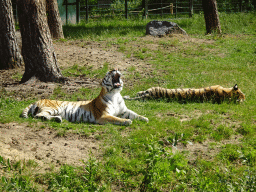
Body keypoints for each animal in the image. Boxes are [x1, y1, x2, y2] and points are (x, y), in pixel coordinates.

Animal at [22, 70, 150, 125]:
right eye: (109, 72)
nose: (114, 69)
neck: (115, 94)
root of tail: (38, 99)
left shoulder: (124, 110)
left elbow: (135, 114)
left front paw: (145, 118)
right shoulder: (103, 115)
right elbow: (116, 119)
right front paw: (127, 121)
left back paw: (58, 119)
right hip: (53, 108)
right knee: (38, 116)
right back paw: (57, 119)